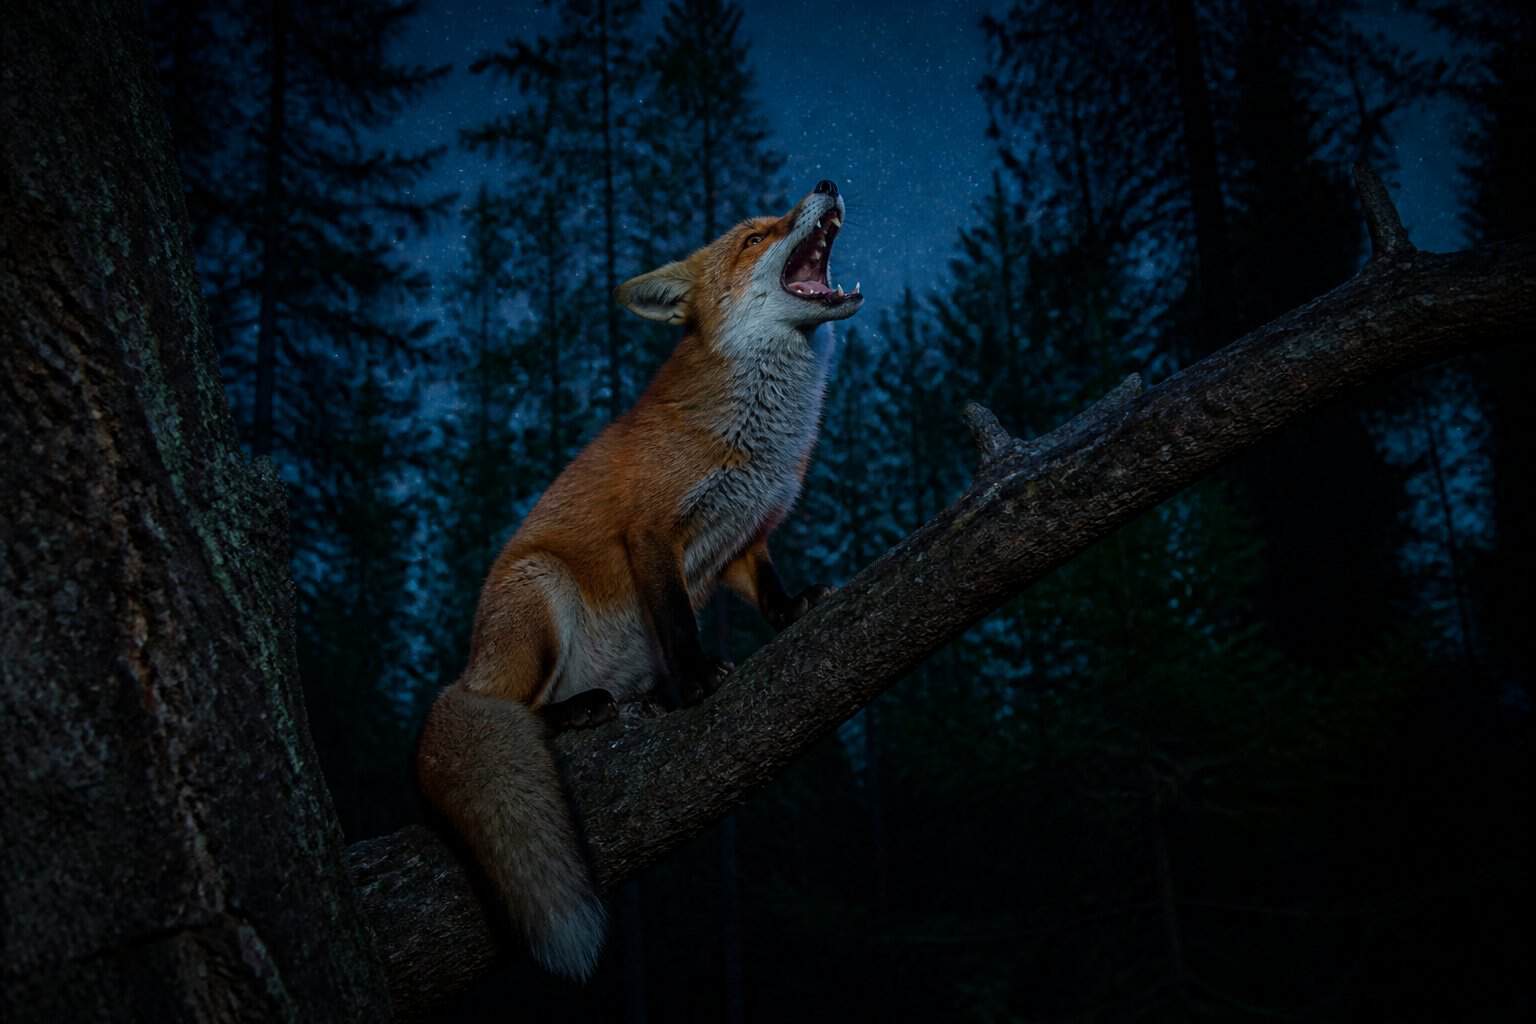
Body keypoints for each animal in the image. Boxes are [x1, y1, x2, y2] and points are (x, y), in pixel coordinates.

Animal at [416, 179, 864, 980]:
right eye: (755, 237)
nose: (825, 185)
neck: (760, 431)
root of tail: (462, 675)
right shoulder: (651, 533)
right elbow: (676, 619)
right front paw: (695, 681)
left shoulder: (746, 532)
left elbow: (770, 590)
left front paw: (794, 609)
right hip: (540, 594)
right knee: (517, 710)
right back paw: (581, 710)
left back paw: (639, 701)